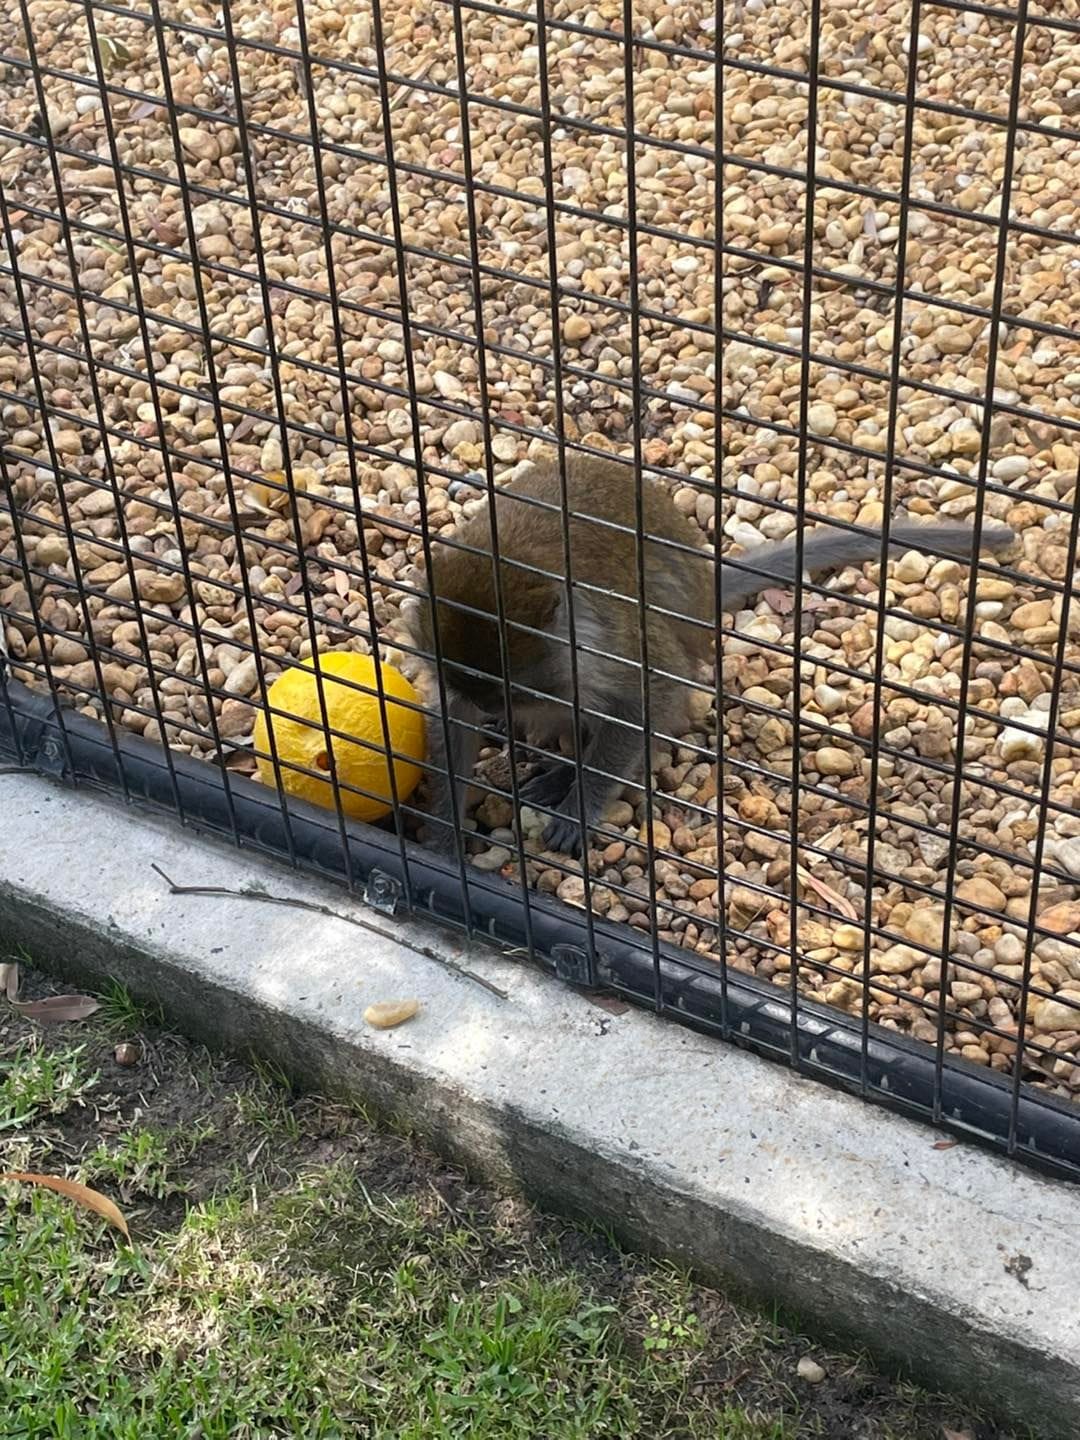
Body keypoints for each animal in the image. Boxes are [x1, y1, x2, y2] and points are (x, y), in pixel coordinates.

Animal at [403, 452, 1013, 852]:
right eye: (477, 692)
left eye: (509, 690)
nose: (496, 712)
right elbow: (450, 721)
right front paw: (445, 828)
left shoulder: (607, 649)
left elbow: (651, 697)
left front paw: (582, 803)